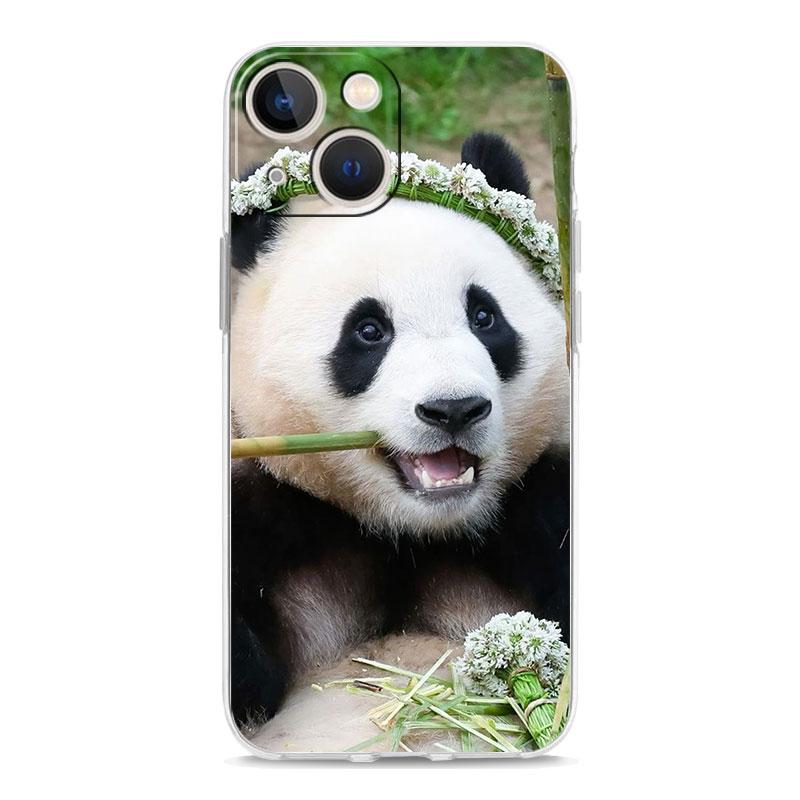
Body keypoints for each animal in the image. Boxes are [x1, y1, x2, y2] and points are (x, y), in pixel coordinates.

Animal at [229, 133, 571, 732]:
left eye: (484, 317)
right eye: (369, 331)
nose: (454, 409)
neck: (409, 537)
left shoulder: (542, 501)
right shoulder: (263, 508)